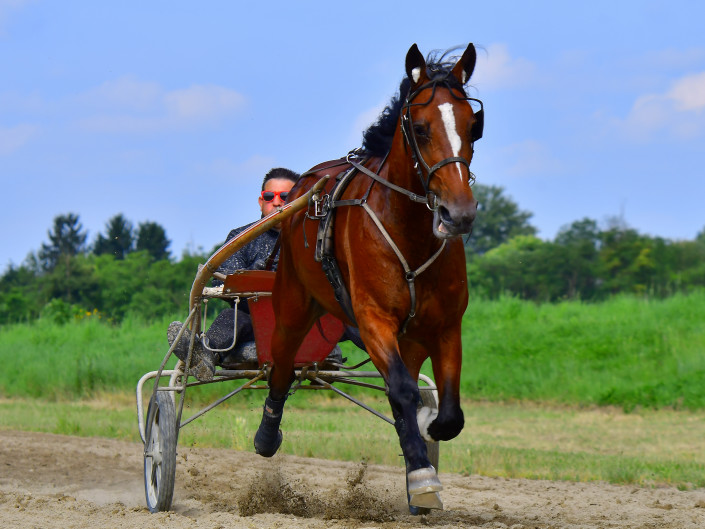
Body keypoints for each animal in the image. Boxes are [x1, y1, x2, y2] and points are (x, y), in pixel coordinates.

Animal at [256, 43, 482, 510]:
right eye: (420, 128)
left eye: (474, 125)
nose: (459, 213)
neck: (410, 233)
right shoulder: (374, 317)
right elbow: (401, 391)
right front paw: (422, 475)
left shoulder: (445, 325)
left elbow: (448, 411)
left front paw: (426, 441)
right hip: (292, 304)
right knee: (281, 367)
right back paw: (267, 435)